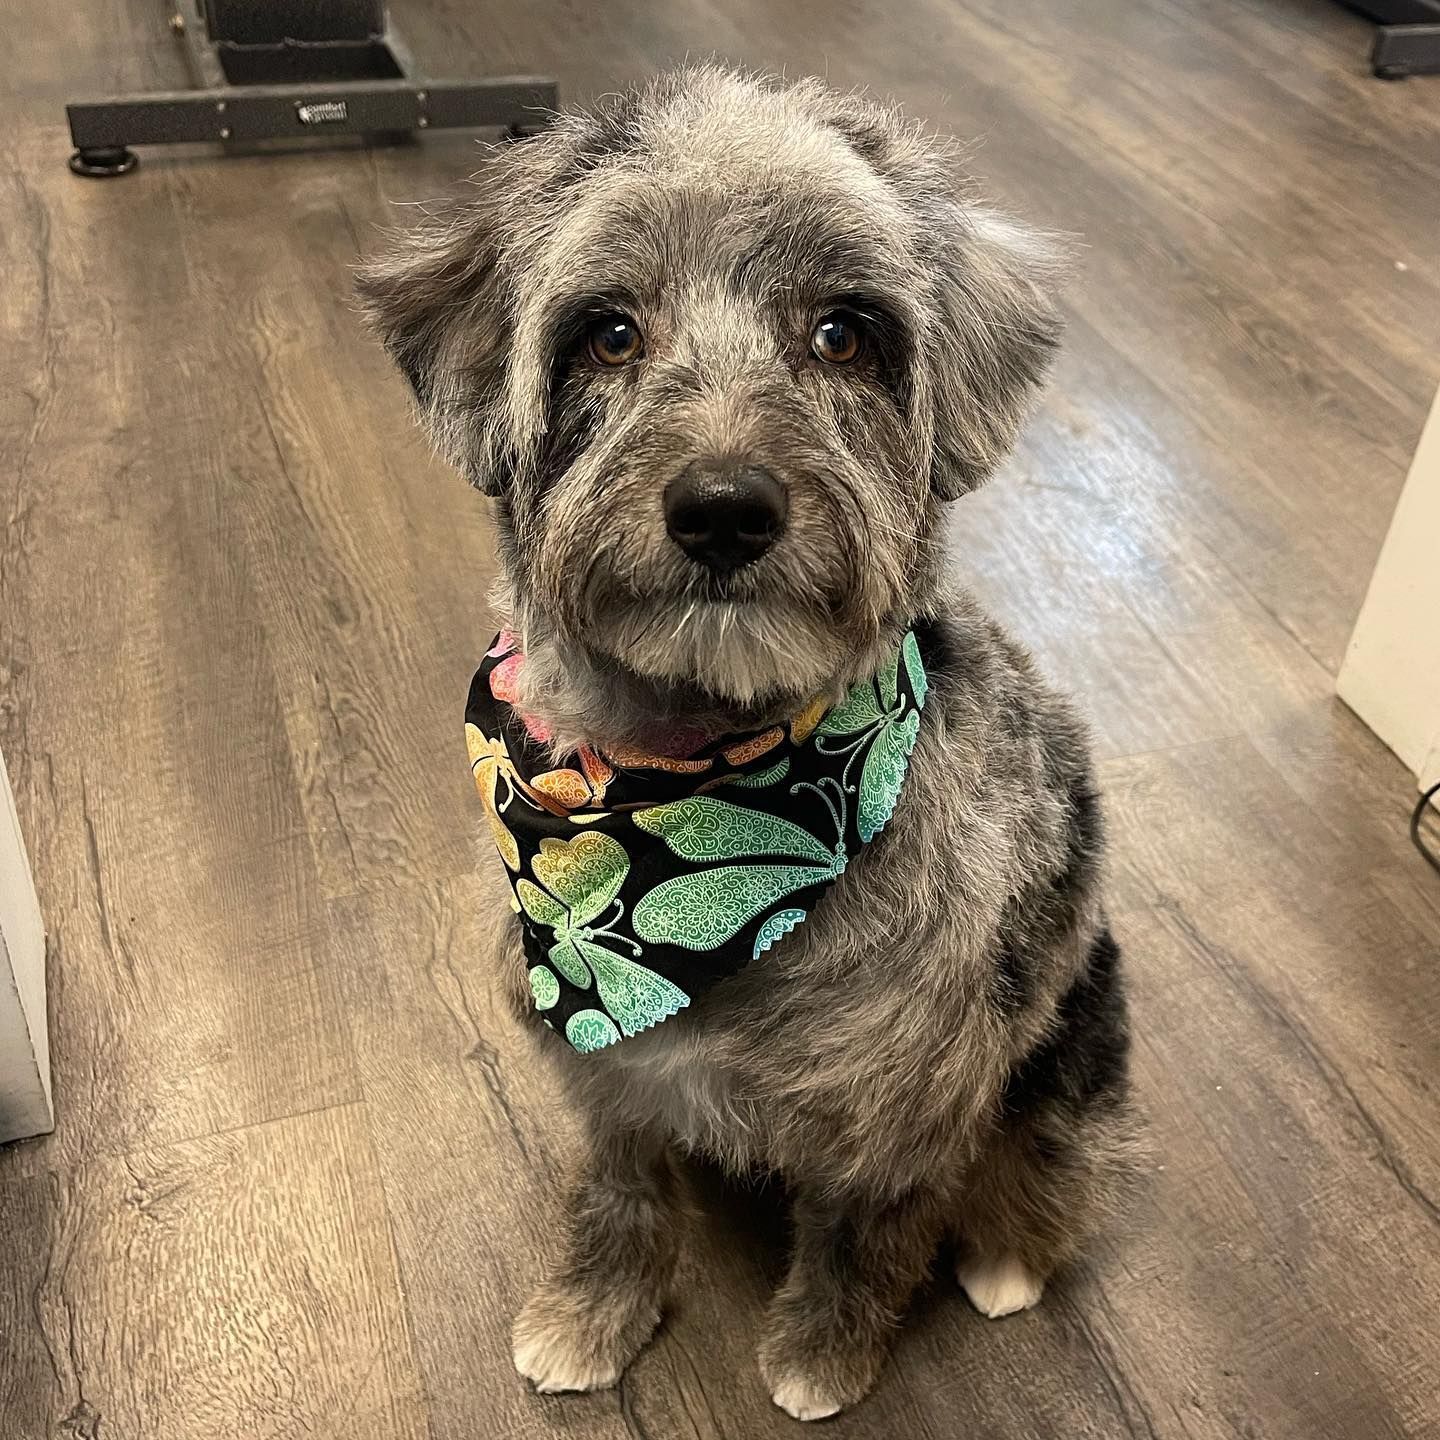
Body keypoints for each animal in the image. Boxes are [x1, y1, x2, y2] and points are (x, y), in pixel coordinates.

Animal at [354, 64, 1128, 1416]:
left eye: (845, 333)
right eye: (609, 331)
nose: (724, 509)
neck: (691, 779)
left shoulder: (901, 1102)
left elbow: (865, 1233)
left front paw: (825, 1351)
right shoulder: (605, 1073)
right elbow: (617, 1195)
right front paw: (590, 1312)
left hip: (1069, 1039)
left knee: (1049, 1168)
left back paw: (1008, 1258)